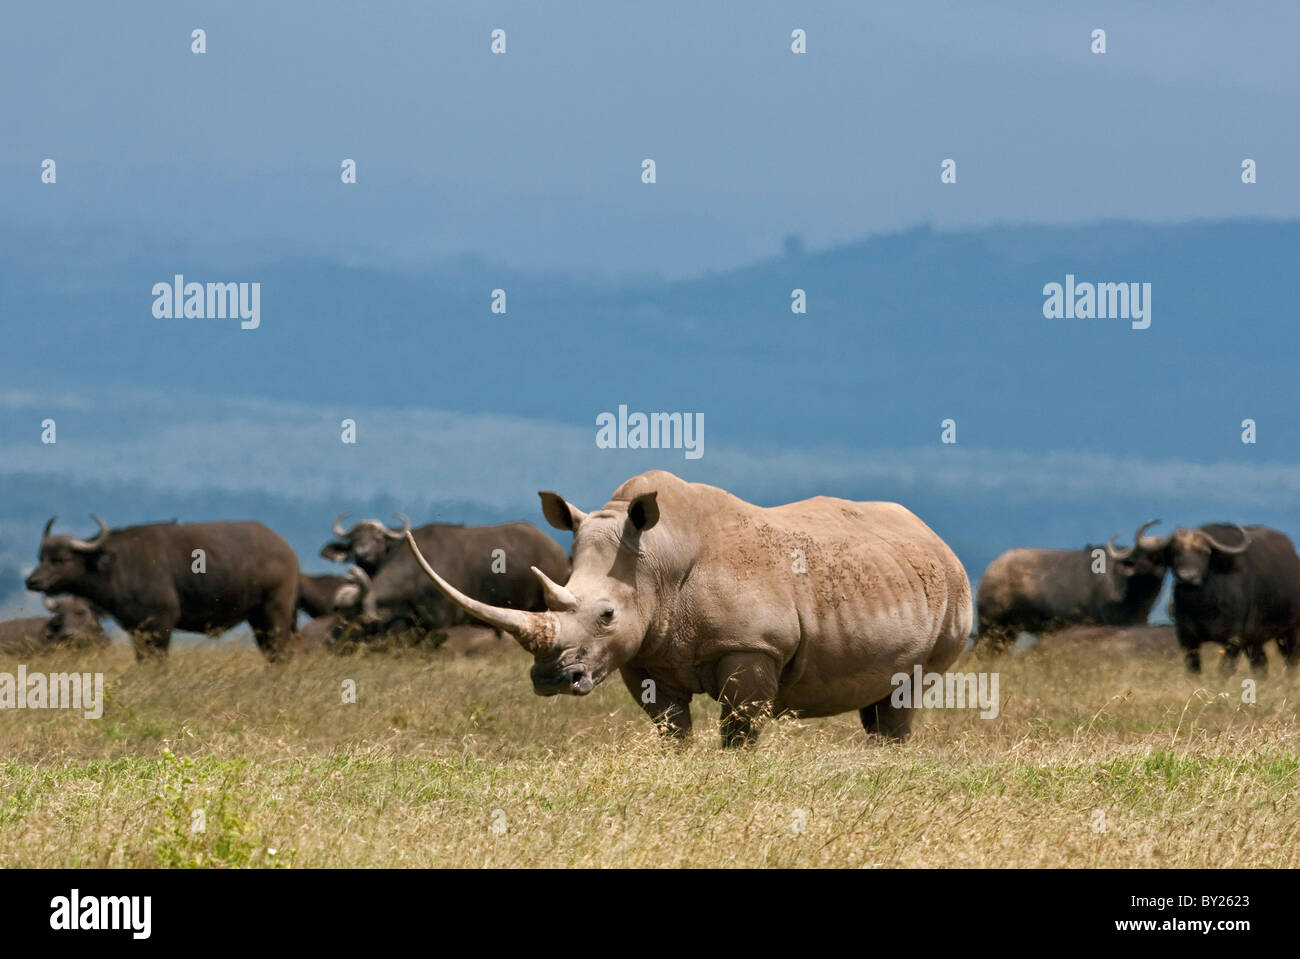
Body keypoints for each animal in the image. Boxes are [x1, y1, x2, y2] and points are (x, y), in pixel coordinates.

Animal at [23, 514, 299, 657]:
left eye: (61, 559)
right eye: (41, 556)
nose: (31, 580)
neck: (117, 566)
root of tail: (286, 549)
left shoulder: (160, 624)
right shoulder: (137, 629)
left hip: (274, 613)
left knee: (280, 653)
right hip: (257, 618)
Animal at [403, 467, 967, 743]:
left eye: (606, 615)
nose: (550, 680)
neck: (657, 562)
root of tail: (935, 538)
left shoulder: (753, 645)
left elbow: (740, 729)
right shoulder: (645, 651)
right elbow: (671, 728)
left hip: (951, 605)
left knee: (904, 695)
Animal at [977, 519, 1175, 647]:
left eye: (1161, 554)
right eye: (1141, 553)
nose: (1152, 569)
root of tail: (991, 570)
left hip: (1008, 631)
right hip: (990, 626)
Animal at [1170, 522, 1300, 670]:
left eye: (1204, 552)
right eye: (1174, 551)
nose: (1186, 577)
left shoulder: (1235, 638)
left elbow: (1225, 668)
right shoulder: (1186, 637)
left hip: (1291, 630)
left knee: (1291, 658)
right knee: (1260, 664)